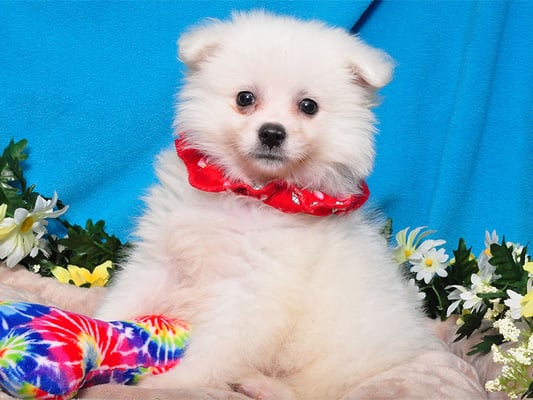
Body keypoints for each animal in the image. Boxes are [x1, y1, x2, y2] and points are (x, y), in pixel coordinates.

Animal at [97, 10, 438, 398]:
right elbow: (125, 299)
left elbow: (212, 352)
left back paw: (262, 385)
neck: (247, 191)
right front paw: (95, 330)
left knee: (318, 388)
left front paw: (171, 383)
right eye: (245, 98)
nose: (272, 133)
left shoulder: (251, 294)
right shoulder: (161, 260)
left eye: (308, 106)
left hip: (341, 348)